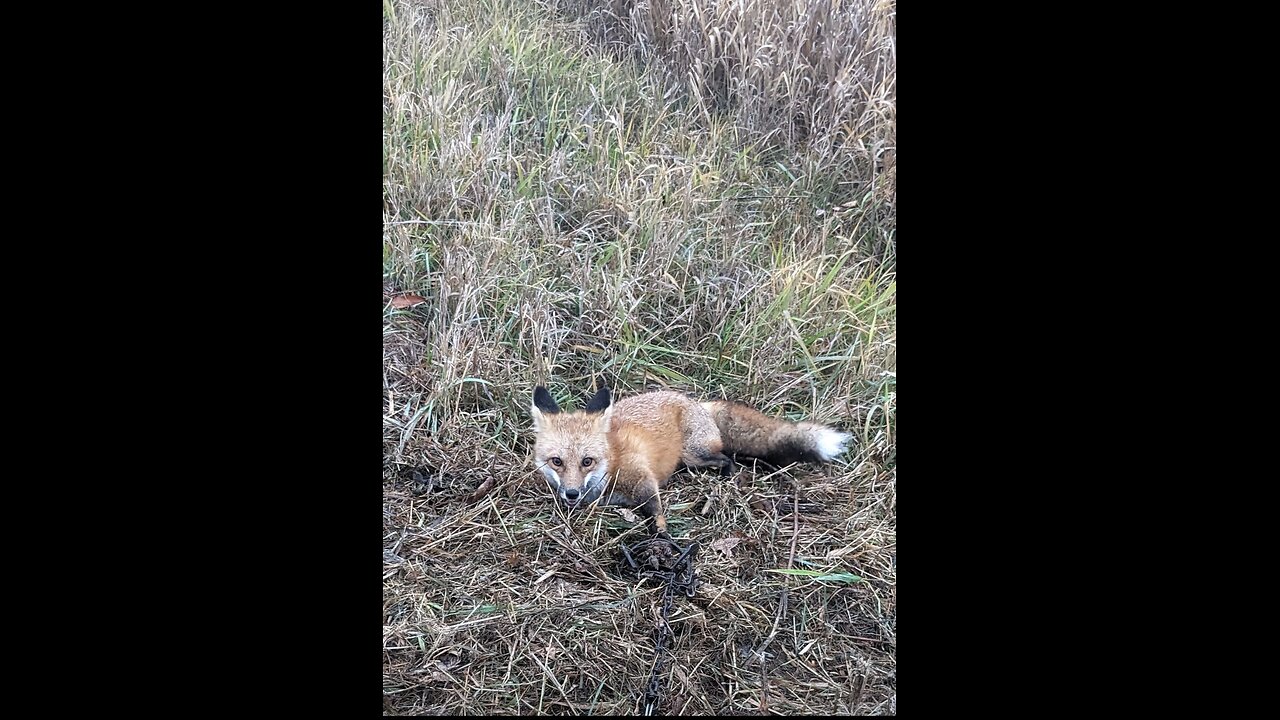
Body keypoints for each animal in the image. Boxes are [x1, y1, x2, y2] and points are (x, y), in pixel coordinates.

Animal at [530, 385, 852, 537]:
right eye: (557, 461)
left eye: (587, 461)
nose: (572, 494)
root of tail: (697, 403)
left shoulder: (644, 480)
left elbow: (657, 513)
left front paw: (661, 540)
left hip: (693, 455)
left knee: (727, 459)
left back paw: (730, 480)